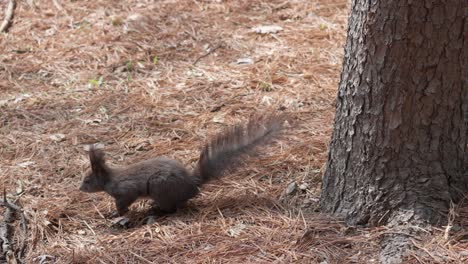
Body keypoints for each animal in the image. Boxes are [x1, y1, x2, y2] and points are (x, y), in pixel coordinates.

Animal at [78, 113, 288, 217]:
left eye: (87, 180)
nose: (80, 189)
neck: (110, 179)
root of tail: (192, 184)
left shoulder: (125, 190)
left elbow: (124, 202)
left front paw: (116, 214)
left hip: (160, 187)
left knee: (173, 207)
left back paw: (156, 211)